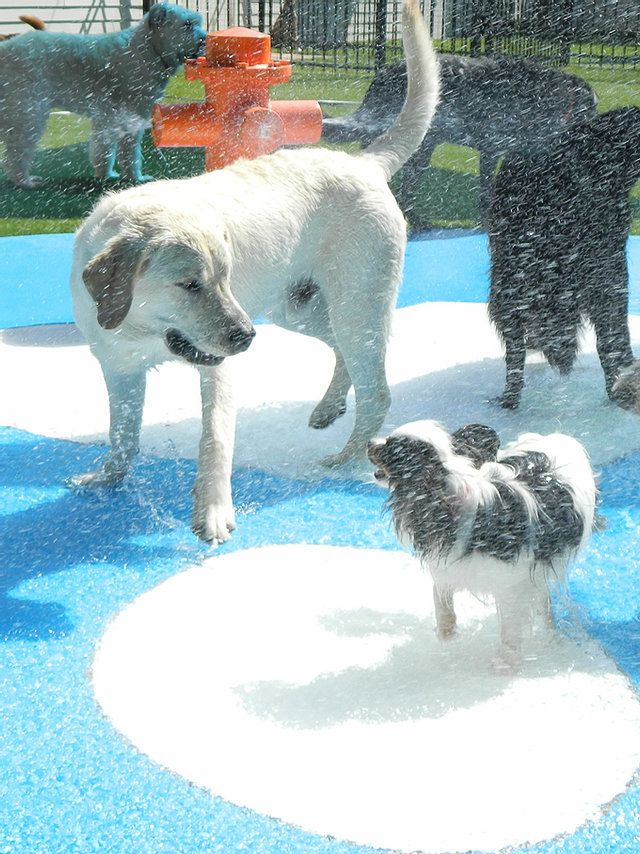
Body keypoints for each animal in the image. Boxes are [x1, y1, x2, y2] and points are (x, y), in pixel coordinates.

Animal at [0, 2, 205, 186]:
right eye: (187, 24)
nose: (205, 39)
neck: (146, 49)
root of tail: (5, 49)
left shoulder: (106, 119)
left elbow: (103, 150)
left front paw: (106, 174)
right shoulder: (131, 117)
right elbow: (129, 151)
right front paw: (135, 177)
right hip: (28, 116)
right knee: (16, 154)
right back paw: (25, 181)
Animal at [368, 424, 596, 672]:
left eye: (390, 447)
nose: (369, 442)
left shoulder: (511, 584)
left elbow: (509, 630)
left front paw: (506, 666)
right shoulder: (449, 570)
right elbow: (442, 603)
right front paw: (447, 638)